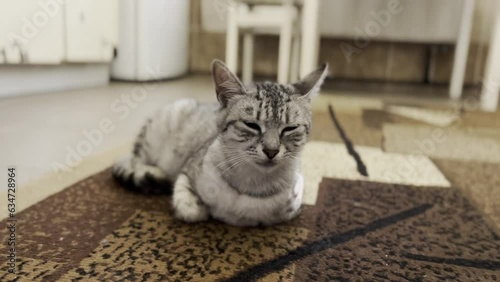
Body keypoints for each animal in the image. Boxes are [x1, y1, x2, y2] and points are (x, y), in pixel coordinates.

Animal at [112, 60, 328, 227]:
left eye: (290, 129)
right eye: (251, 125)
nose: (271, 150)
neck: (253, 185)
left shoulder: (294, 198)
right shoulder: (188, 168)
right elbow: (188, 205)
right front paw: (198, 208)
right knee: (132, 162)